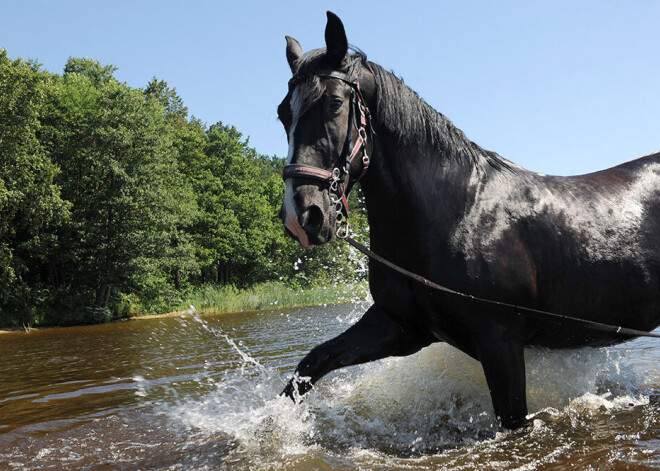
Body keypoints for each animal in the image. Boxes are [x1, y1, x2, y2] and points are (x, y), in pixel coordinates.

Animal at [276, 12, 656, 432]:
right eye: (282, 113)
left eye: (335, 103)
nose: (301, 215)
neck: (459, 212)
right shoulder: (398, 327)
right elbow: (310, 366)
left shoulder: (500, 341)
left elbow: (513, 419)